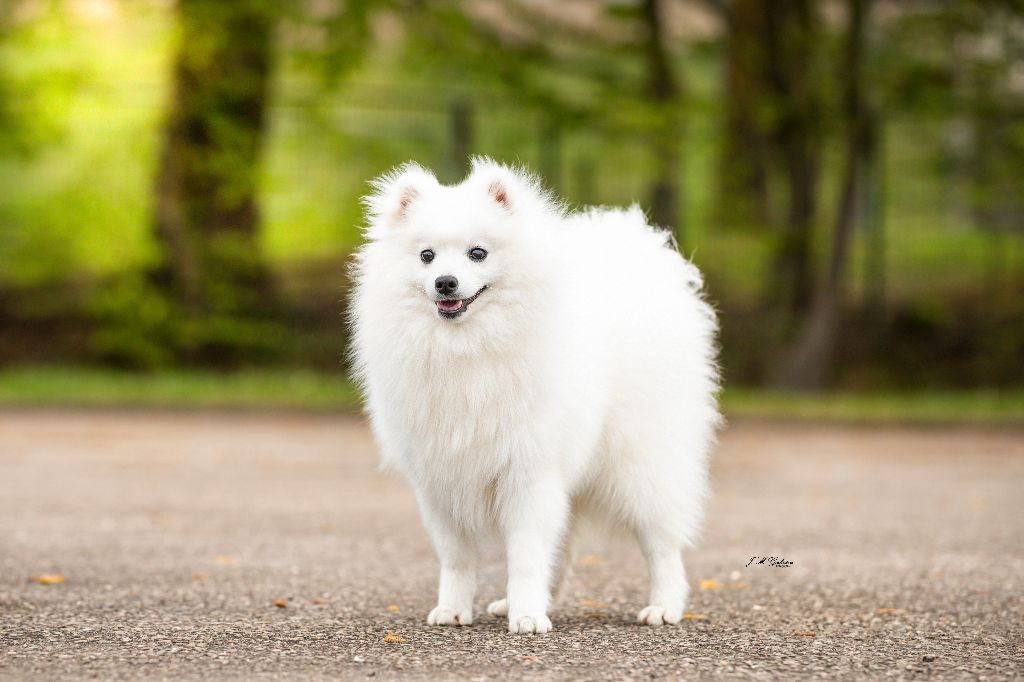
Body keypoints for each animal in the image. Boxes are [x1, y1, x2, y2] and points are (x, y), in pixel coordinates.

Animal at [352, 157, 720, 630]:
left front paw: (527, 616)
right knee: (563, 544)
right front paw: (456, 608)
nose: (445, 282)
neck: (468, 350)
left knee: (662, 542)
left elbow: (526, 555)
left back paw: (664, 606)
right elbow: (457, 556)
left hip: (642, 462)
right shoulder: (440, 478)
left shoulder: (529, 470)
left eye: (477, 253)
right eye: (426, 256)